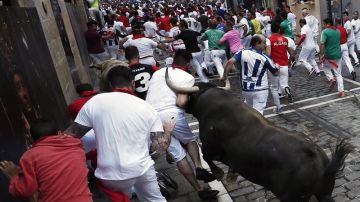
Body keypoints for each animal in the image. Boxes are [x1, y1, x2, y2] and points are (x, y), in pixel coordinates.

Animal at [165, 68, 352, 202]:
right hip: (324, 194)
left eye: (190, 97)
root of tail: (318, 158)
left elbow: (206, 157)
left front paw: (217, 173)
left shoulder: (211, 147)